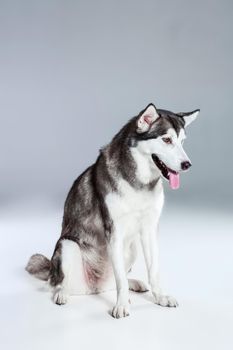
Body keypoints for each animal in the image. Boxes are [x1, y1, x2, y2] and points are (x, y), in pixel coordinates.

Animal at [26, 103, 200, 318]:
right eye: (166, 140)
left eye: (182, 142)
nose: (187, 164)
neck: (139, 183)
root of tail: (92, 289)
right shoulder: (114, 230)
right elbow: (120, 280)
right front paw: (121, 304)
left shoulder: (149, 229)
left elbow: (153, 270)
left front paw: (160, 296)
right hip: (68, 245)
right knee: (57, 283)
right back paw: (62, 293)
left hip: (132, 247)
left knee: (115, 280)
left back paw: (135, 283)